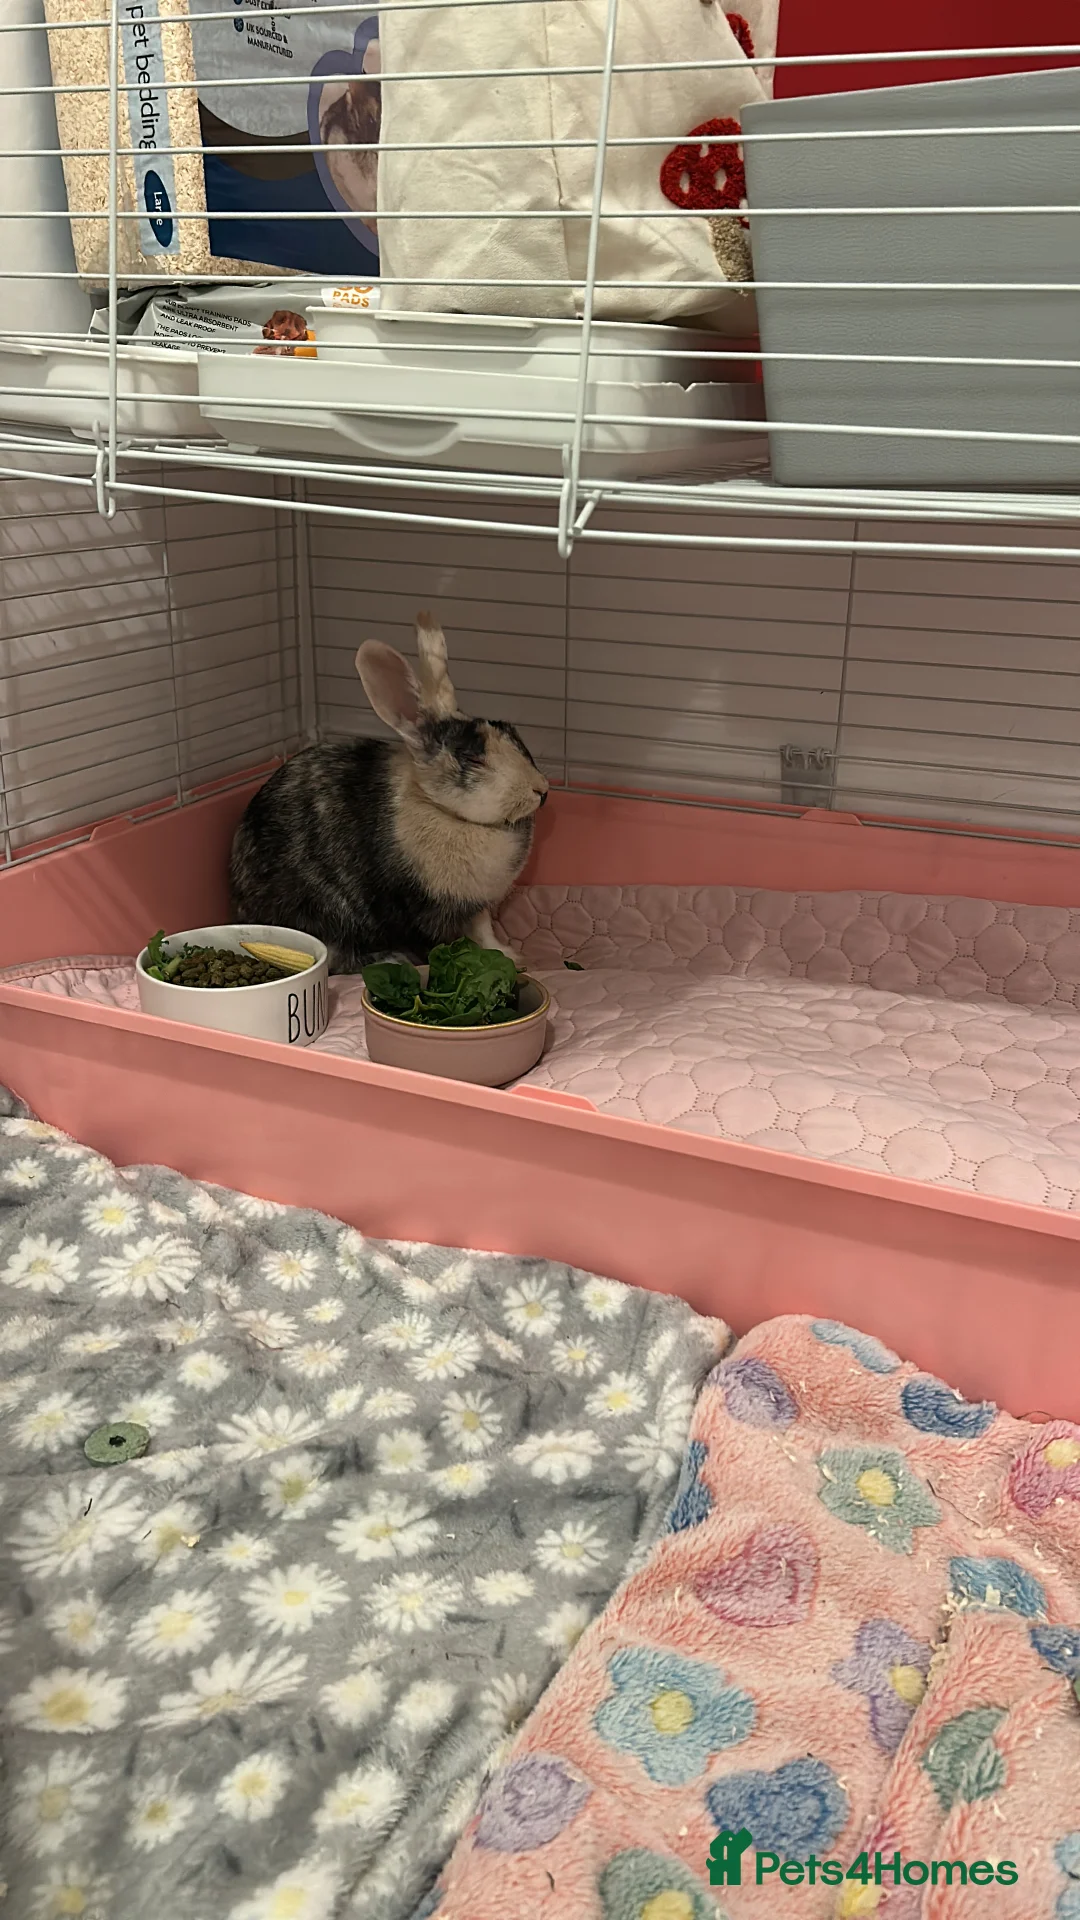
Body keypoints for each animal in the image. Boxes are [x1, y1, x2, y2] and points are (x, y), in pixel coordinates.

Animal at [229, 613, 549, 973]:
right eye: (473, 757)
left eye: (511, 731)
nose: (542, 789)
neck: (443, 809)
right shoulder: (418, 911)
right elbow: (436, 943)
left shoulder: (476, 907)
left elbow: (485, 931)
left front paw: (511, 957)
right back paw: (390, 958)